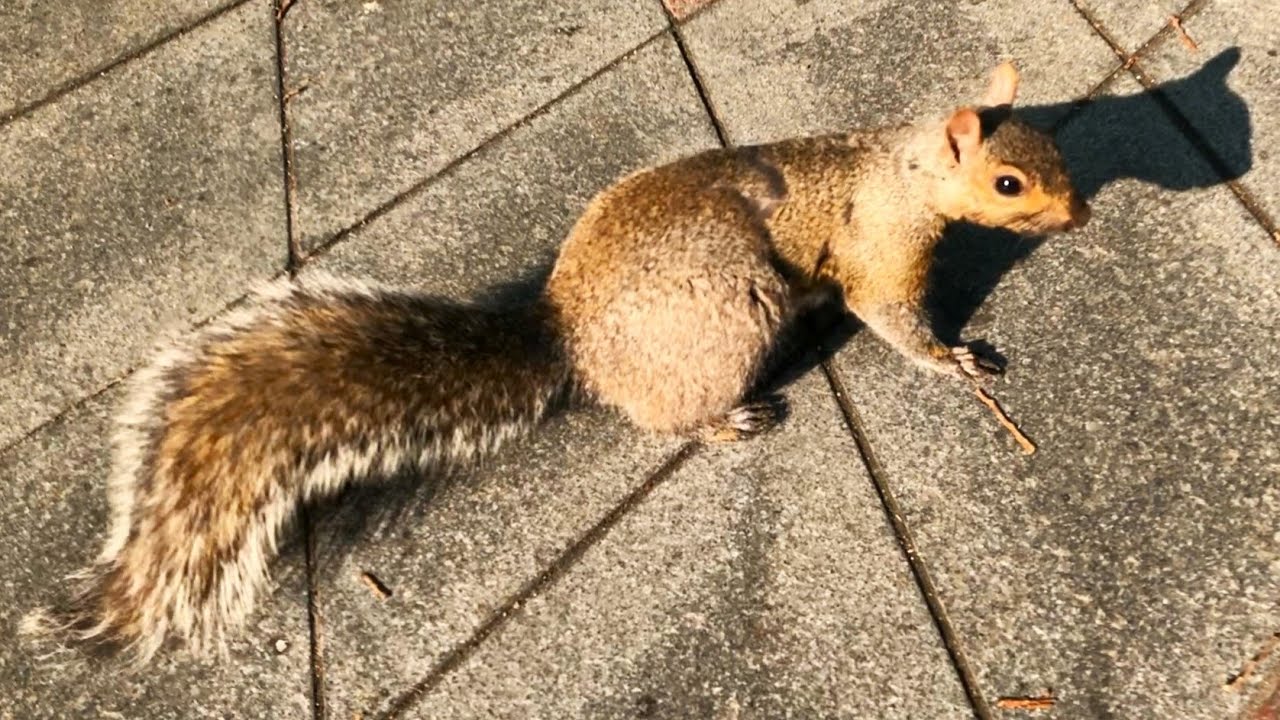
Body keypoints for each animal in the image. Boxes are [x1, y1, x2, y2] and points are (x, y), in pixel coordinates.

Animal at [23, 62, 1088, 664]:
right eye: (1009, 183)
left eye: (1053, 152)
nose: (1079, 216)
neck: (899, 169)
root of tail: (568, 335)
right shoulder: (879, 252)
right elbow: (894, 320)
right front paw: (957, 359)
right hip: (731, 313)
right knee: (670, 414)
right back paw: (728, 420)